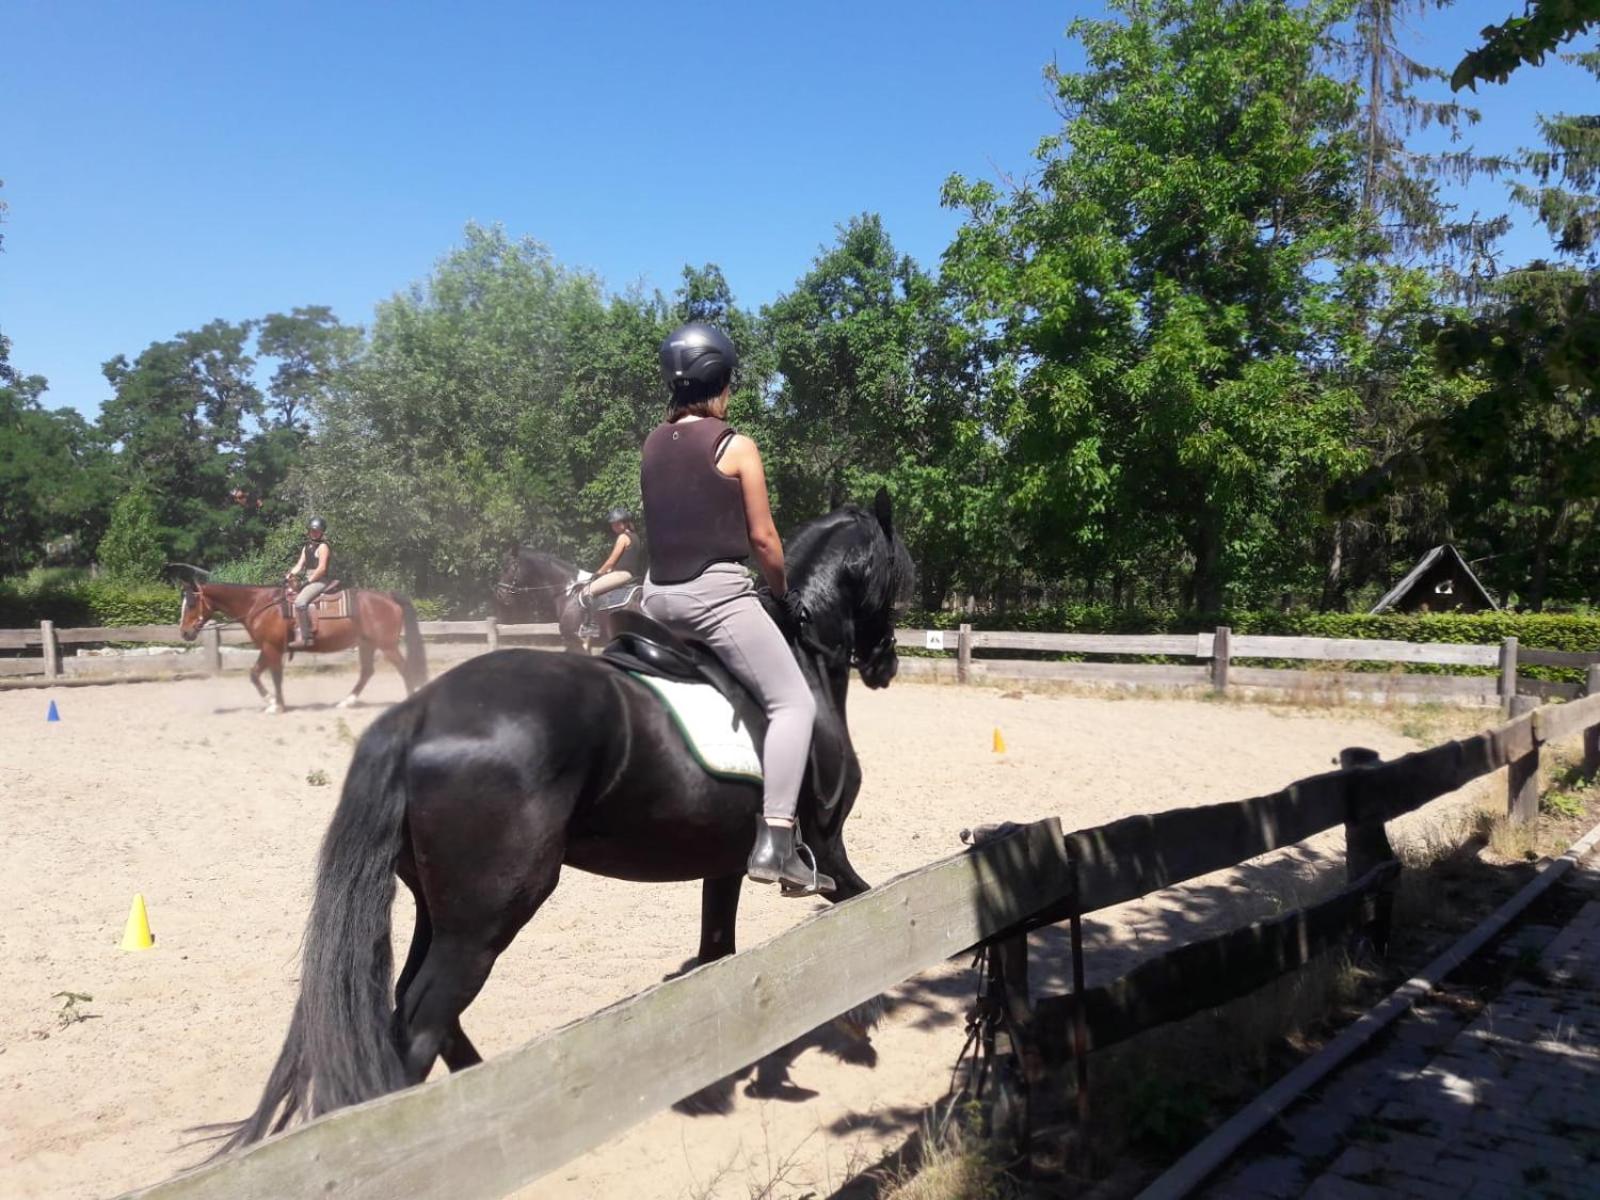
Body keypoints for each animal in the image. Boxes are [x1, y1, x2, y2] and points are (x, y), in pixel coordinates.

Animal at [178, 580, 429, 714]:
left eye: (191, 604)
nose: (184, 632)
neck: (260, 606)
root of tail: (388, 597)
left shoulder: (272, 649)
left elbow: (275, 676)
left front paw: (277, 705)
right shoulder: (267, 649)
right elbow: (255, 674)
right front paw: (271, 702)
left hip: (387, 646)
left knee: (404, 669)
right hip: (367, 645)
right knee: (367, 672)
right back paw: (346, 702)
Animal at [216, 489, 913, 1149]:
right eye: (899, 571)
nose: (885, 665)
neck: (801, 654)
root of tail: (420, 713)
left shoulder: (724, 864)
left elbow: (719, 952)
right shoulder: (826, 845)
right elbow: (866, 902)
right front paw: (867, 1007)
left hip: (441, 913)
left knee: (419, 1014)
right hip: (486, 917)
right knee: (419, 1028)